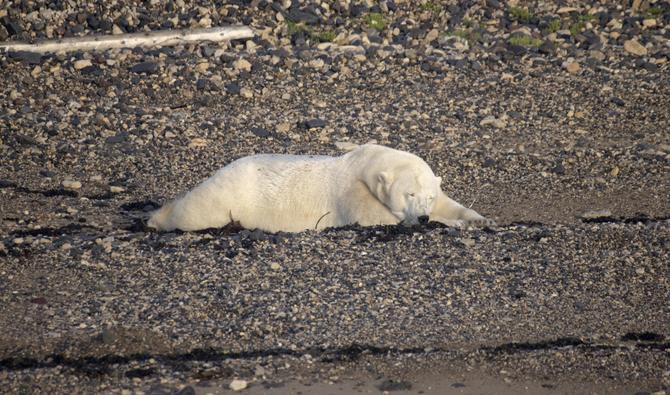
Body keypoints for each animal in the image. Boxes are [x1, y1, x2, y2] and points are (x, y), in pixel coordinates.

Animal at [147, 145, 494, 232]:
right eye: (409, 194)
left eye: (428, 196)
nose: (422, 216)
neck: (365, 165)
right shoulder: (351, 194)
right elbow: (379, 219)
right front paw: (452, 223)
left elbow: (452, 203)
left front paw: (477, 218)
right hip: (223, 198)